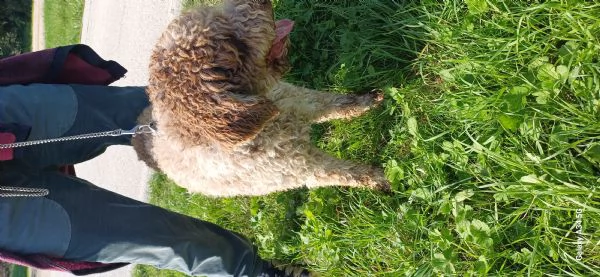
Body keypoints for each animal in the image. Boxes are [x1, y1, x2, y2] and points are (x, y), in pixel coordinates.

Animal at [133, 0, 392, 196]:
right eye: (231, 41)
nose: (262, 0)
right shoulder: (302, 167)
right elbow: (345, 172)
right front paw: (382, 179)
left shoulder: (298, 100)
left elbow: (336, 103)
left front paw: (369, 100)